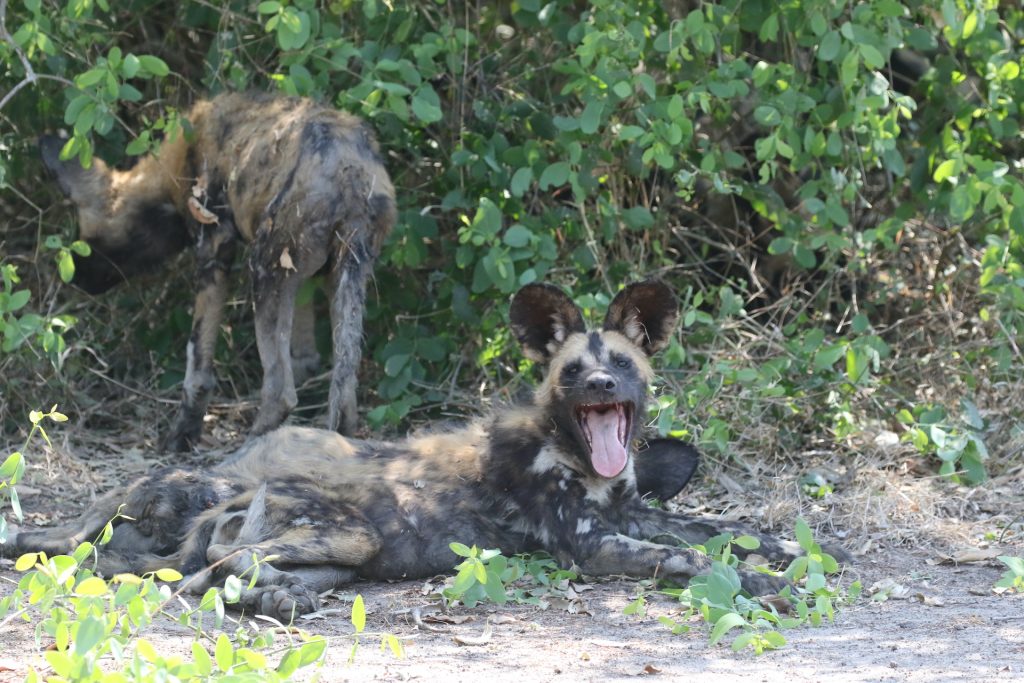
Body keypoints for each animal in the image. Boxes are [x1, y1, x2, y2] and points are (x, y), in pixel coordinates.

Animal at [9, 280, 839, 622]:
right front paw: (770, 584)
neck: (576, 457)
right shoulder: (596, 544)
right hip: (345, 530)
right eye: (575, 371)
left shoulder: (634, 512)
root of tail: (232, 483)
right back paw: (270, 598)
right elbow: (694, 557)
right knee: (208, 569)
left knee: (224, 573)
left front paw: (791, 553)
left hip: (341, 555)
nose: (604, 380)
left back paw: (280, 600)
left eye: (624, 367)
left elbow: (722, 529)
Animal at [38, 92, 395, 454]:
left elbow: (197, 362)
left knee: (281, 390)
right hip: (341, 277)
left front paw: (181, 435)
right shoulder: (303, 279)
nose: (76, 280)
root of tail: (350, 172)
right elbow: (306, 357)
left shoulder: (213, 250)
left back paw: (251, 446)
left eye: (85, 237)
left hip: (263, 271)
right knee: (344, 388)